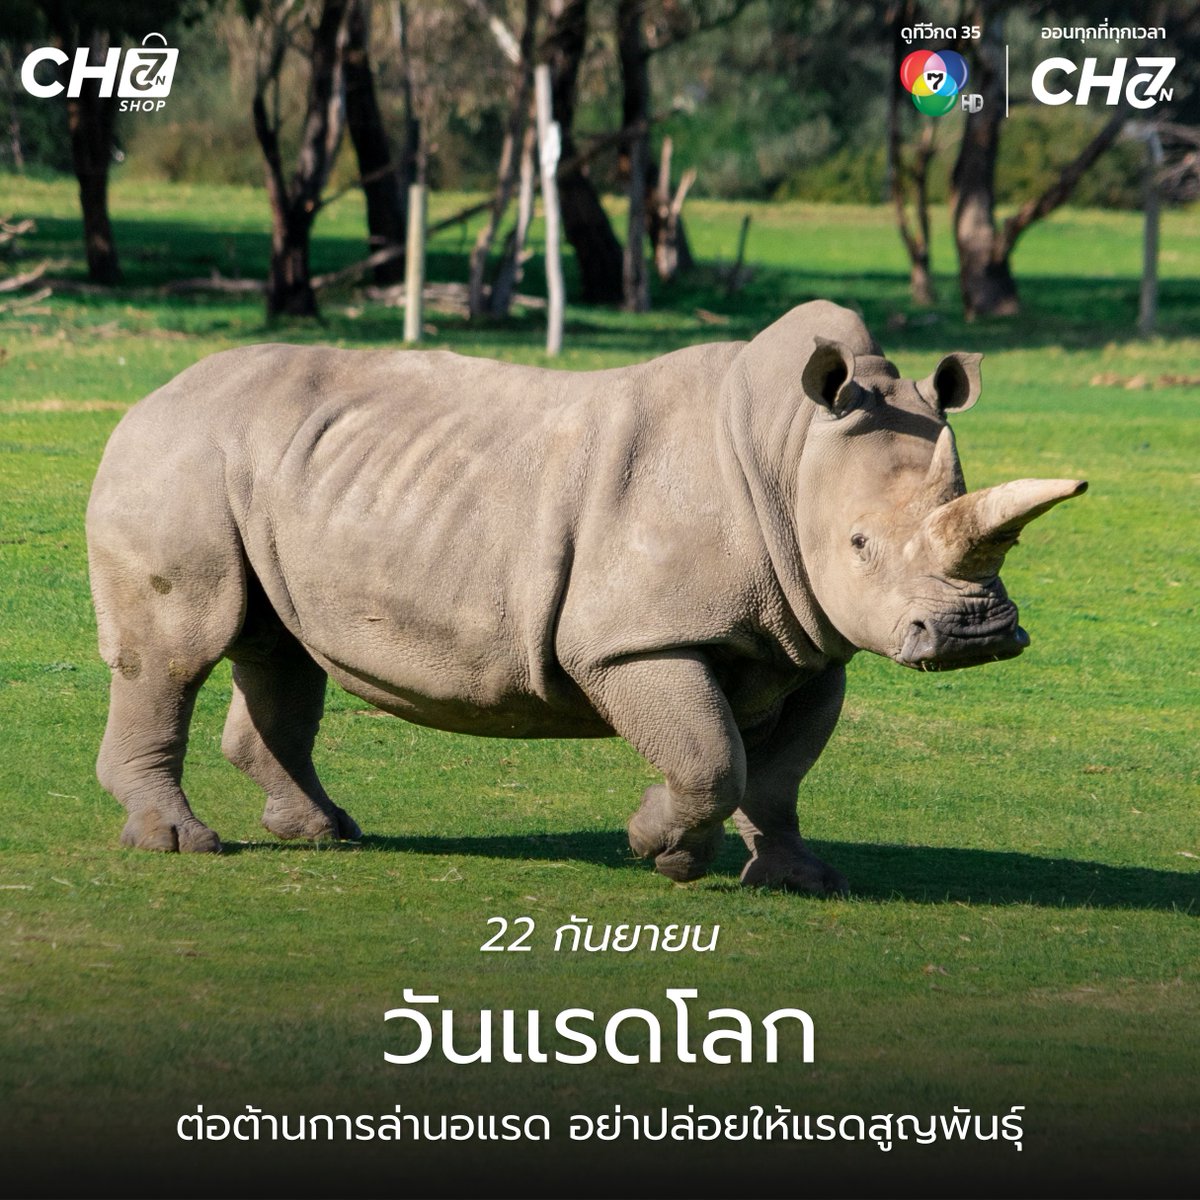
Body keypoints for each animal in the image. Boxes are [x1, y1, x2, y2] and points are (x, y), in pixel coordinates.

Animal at [86, 301, 1085, 893]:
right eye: (861, 545)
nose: (975, 632)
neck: (790, 453)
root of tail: (148, 397)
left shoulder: (810, 639)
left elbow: (782, 770)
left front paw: (799, 877)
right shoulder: (630, 639)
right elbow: (710, 756)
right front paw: (661, 851)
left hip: (264, 467)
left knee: (280, 646)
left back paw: (325, 833)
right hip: (178, 455)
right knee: (177, 651)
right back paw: (181, 844)